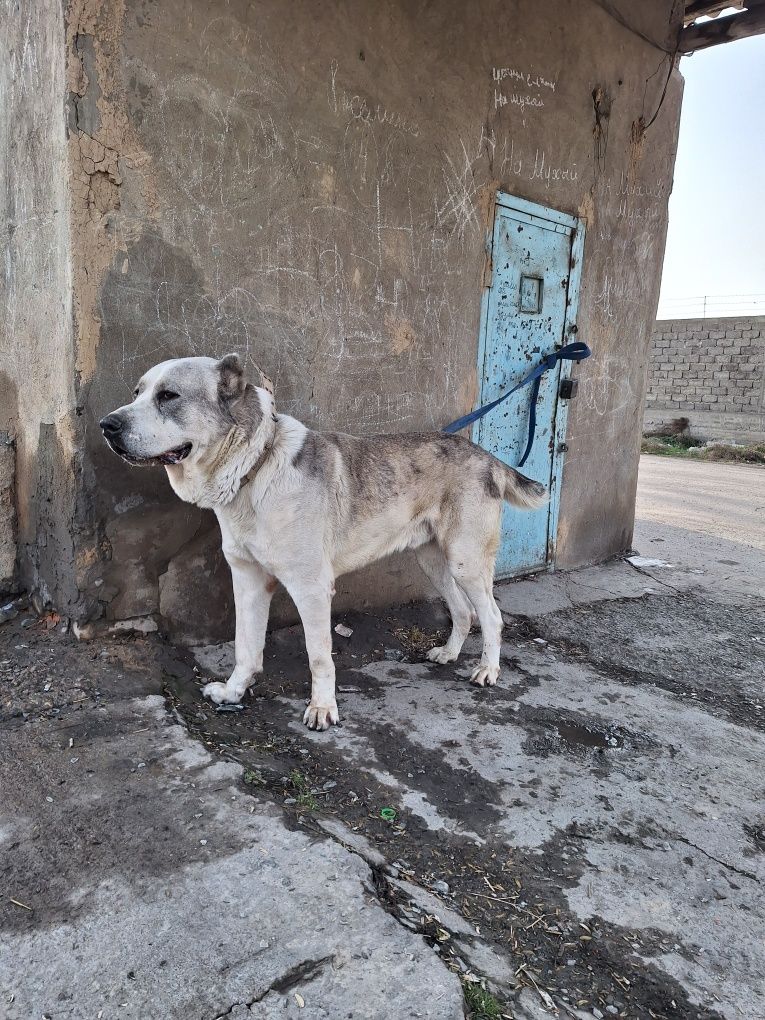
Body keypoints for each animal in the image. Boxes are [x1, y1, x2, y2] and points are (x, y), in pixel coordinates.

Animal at [100, 354, 546, 730]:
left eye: (168, 396)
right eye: (137, 393)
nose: (107, 425)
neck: (256, 469)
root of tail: (486, 455)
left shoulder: (311, 588)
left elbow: (319, 657)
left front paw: (322, 709)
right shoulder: (248, 580)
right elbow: (246, 646)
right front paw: (233, 691)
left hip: (465, 561)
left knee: (491, 616)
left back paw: (487, 671)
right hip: (432, 560)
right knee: (462, 611)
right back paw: (449, 653)